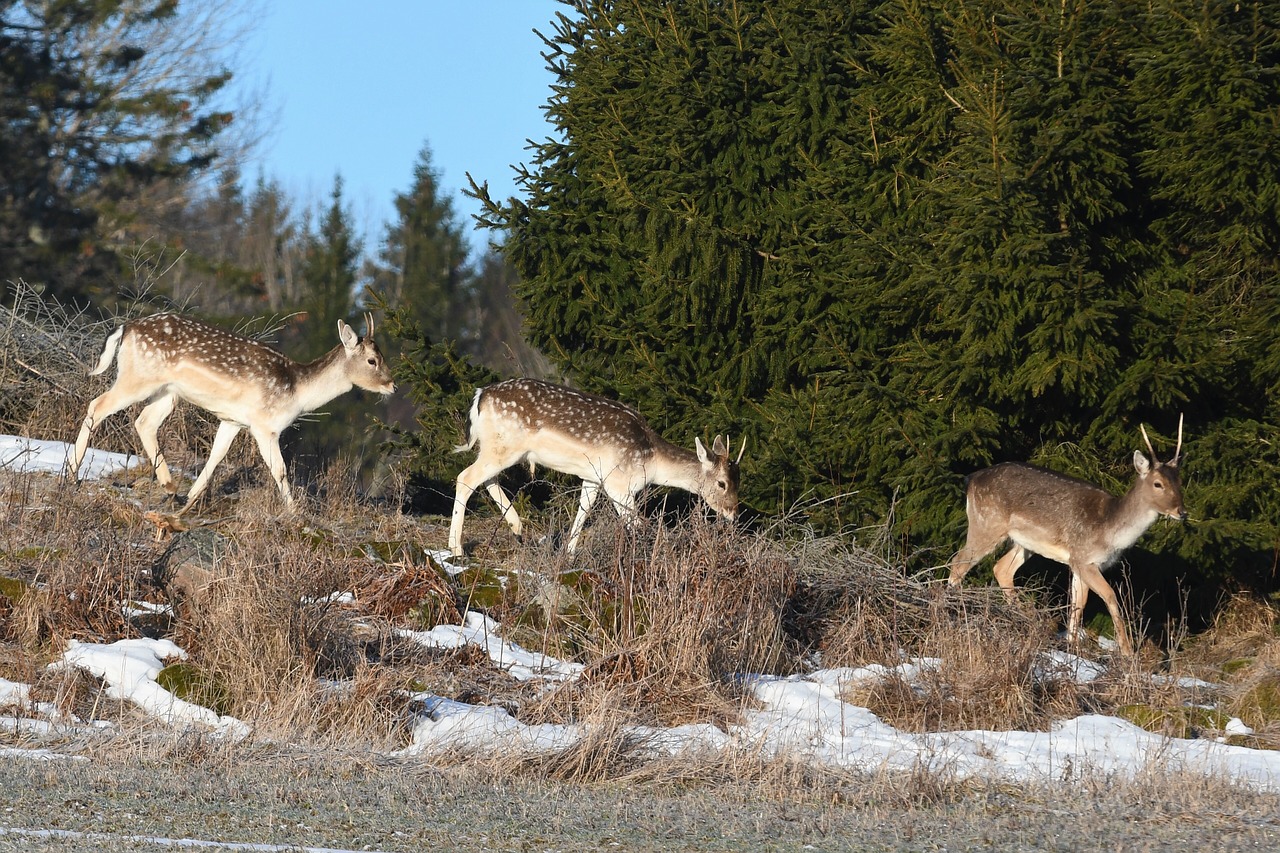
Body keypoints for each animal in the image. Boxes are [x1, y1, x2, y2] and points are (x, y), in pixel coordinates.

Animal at [64, 312, 391, 512]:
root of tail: (126, 328)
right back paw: (72, 473)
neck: (297, 392)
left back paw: (170, 487)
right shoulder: (264, 425)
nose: (391, 384)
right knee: (97, 406)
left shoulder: (232, 420)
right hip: (139, 377)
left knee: (144, 421)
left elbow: (215, 457)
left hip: (168, 392)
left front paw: (190, 500)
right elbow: (280, 470)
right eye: (372, 360)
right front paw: (295, 512)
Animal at [448, 376, 742, 555]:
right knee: (466, 477)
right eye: (722, 483)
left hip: (498, 447)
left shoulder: (593, 478)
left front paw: (569, 553)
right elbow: (636, 524)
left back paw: (517, 528)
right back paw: (457, 549)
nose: (733, 513)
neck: (651, 461)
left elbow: (583, 511)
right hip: (505, 445)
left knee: (486, 479)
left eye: (738, 480)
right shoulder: (619, 484)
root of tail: (481, 396)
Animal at [947, 417, 1182, 650]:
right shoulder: (1083, 557)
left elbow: (1079, 603)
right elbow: (1110, 596)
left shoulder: (1079, 563)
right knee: (959, 562)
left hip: (1023, 542)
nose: (1182, 511)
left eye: (1178, 483)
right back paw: (953, 611)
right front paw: (1126, 651)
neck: (1110, 531)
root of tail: (971, 479)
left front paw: (1072, 645)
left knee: (1001, 568)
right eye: (1158, 484)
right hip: (987, 523)